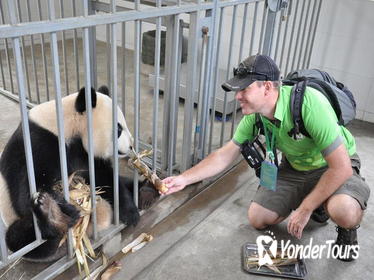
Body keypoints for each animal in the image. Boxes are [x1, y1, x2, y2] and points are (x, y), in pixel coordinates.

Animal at [0, 86, 156, 262]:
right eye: (118, 129)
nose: (130, 146)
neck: (65, 124)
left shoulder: (81, 150)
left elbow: (103, 177)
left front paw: (130, 212)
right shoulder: (36, 144)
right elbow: (26, 194)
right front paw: (65, 208)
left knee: (126, 182)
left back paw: (146, 192)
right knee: (20, 238)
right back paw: (53, 216)